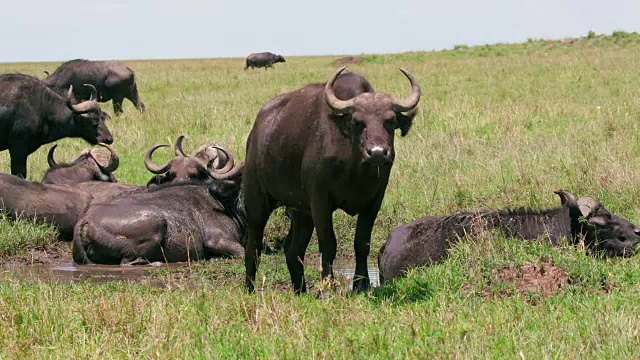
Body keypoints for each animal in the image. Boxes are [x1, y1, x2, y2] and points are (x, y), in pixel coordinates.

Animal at [244, 67, 420, 292]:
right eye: (358, 122)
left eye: (390, 121)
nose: (377, 153)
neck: (355, 170)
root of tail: (256, 131)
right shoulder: (321, 201)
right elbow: (328, 244)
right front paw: (328, 287)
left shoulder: (374, 201)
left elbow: (362, 243)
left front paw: (361, 284)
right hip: (257, 199)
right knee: (253, 244)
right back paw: (250, 287)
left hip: (300, 211)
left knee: (293, 249)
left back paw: (300, 290)